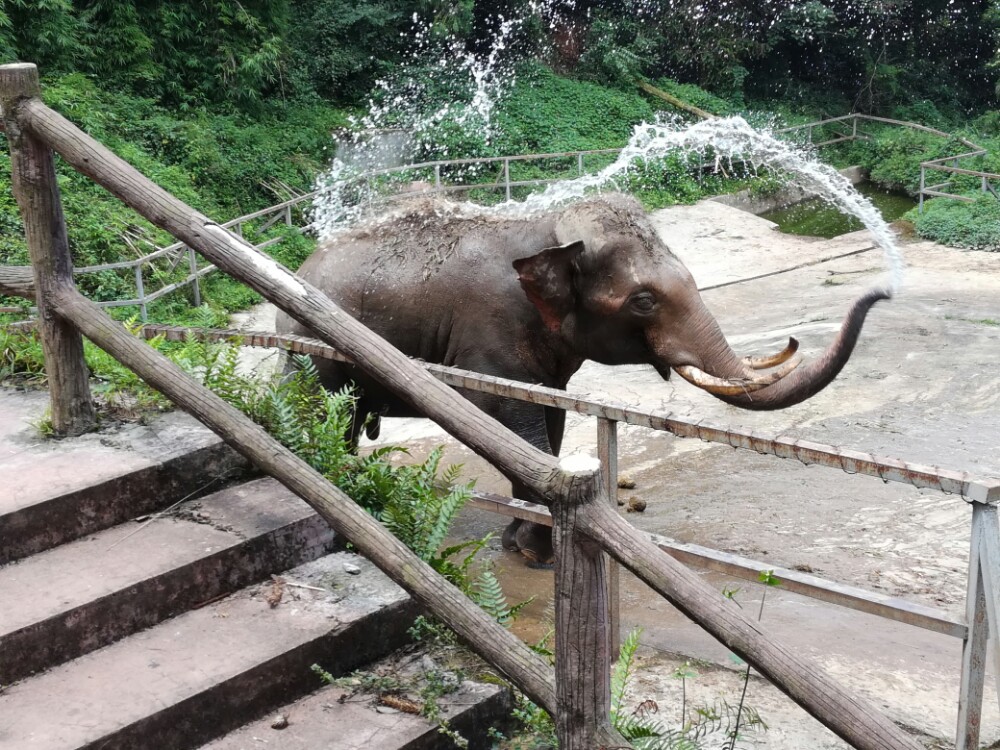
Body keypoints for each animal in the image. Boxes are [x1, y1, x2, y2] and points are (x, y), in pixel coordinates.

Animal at [278, 192, 888, 564]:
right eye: (643, 301)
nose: (880, 293)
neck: (543, 230)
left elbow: (552, 418)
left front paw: (524, 542)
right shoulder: (485, 333)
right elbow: (512, 421)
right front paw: (537, 553)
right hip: (314, 354)